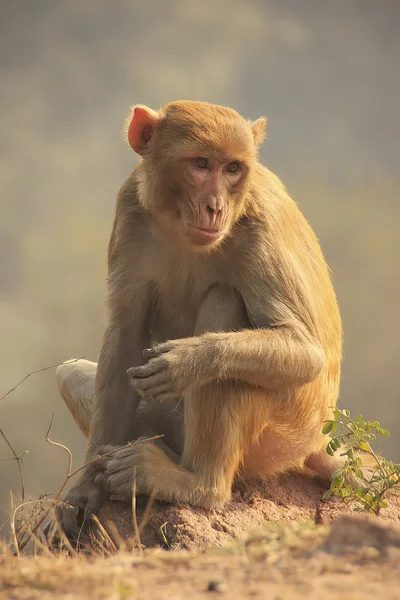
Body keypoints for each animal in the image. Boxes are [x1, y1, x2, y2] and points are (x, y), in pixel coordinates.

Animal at [55, 99, 344, 540]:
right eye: (202, 163)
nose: (215, 207)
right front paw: (85, 489)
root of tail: (314, 443)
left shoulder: (260, 226)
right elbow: (125, 336)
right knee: (68, 374)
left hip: (279, 437)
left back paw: (195, 484)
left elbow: (306, 351)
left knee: (225, 307)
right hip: (169, 421)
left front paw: (187, 361)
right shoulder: (129, 209)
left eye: (233, 169)